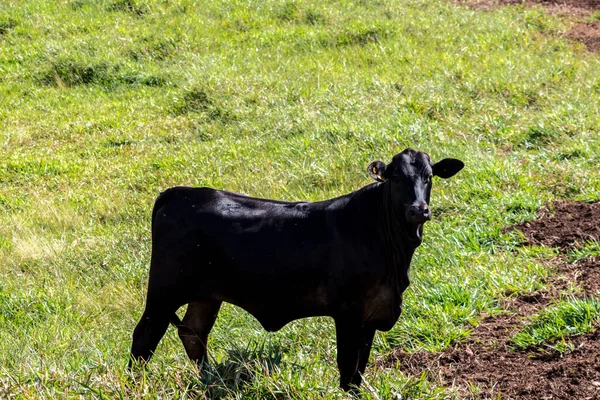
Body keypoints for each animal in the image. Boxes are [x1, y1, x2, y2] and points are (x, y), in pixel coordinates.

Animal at [130, 148, 464, 390]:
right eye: (395, 178)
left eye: (429, 176)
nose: (419, 210)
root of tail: (180, 192)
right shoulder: (347, 311)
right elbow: (347, 369)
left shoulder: (373, 312)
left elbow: (359, 369)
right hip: (164, 291)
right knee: (144, 337)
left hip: (206, 295)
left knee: (194, 333)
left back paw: (210, 381)